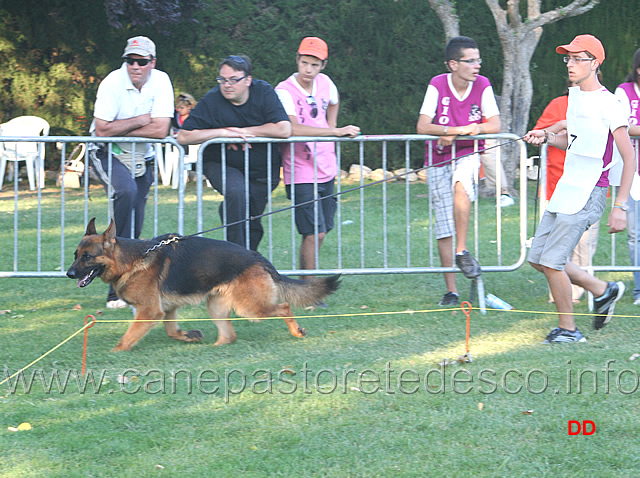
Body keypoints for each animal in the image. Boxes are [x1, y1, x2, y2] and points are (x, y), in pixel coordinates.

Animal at [66, 219, 340, 352]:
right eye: (75, 255)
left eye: (87, 257)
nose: (69, 273)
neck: (130, 260)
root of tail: (257, 257)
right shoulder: (166, 310)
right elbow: (171, 331)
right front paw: (189, 335)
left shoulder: (149, 311)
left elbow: (128, 337)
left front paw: (115, 352)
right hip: (216, 307)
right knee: (229, 336)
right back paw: (213, 347)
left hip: (250, 308)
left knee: (283, 306)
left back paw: (296, 331)